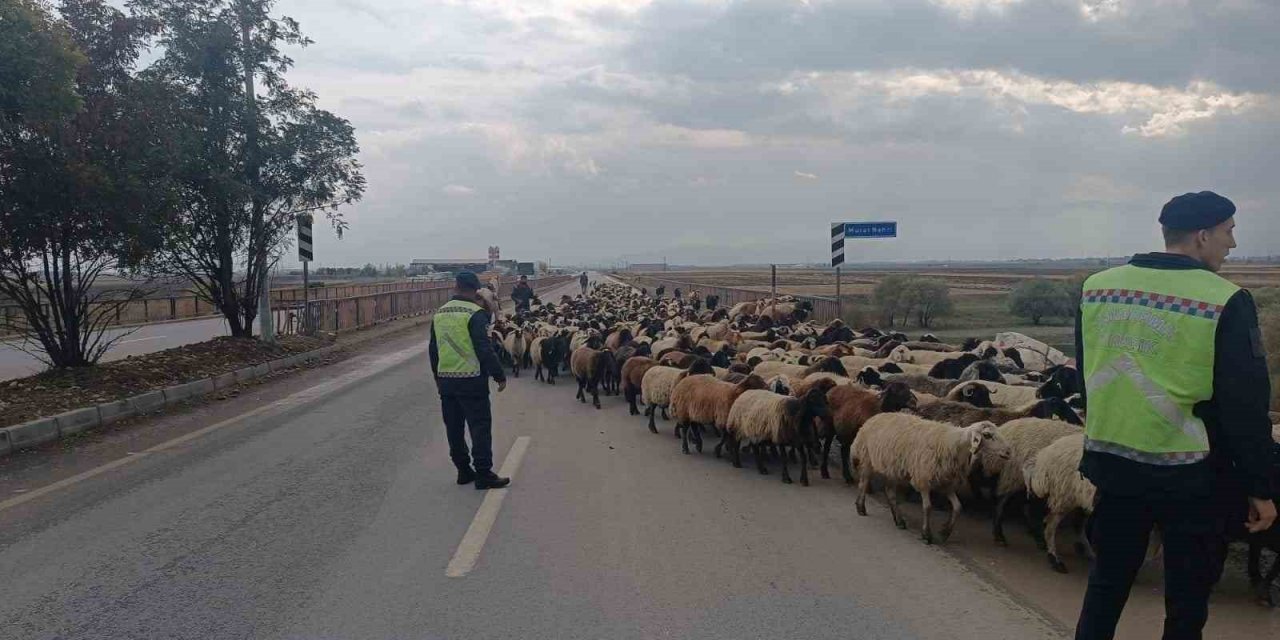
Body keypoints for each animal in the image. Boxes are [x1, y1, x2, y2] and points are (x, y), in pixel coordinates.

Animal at [855, 414, 1013, 545]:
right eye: (987, 435)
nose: (1008, 452)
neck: (953, 444)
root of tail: (873, 418)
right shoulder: (923, 479)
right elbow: (928, 507)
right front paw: (926, 534)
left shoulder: (946, 483)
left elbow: (958, 507)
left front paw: (944, 533)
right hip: (867, 458)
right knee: (863, 483)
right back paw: (861, 508)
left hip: (893, 469)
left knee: (890, 492)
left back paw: (899, 520)